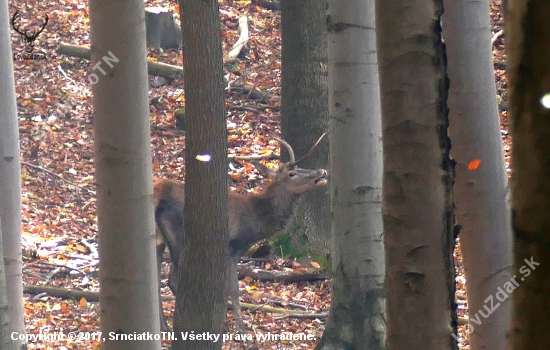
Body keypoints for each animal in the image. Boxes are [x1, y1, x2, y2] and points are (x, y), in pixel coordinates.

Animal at [154, 135, 328, 330]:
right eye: (292, 174)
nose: (321, 171)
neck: (257, 220)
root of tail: (158, 193)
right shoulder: (233, 247)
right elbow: (234, 290)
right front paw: (241, 329)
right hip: (177, 234)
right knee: (171, 279)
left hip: (159, 238)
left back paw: (164, 326)